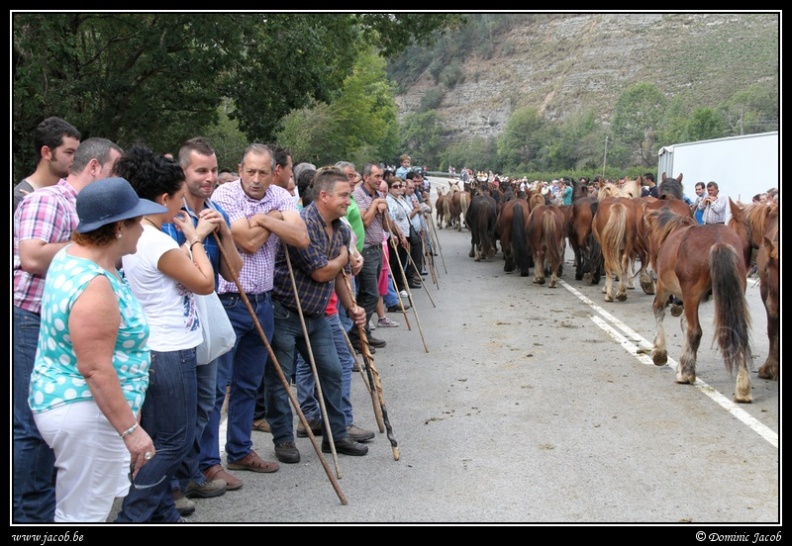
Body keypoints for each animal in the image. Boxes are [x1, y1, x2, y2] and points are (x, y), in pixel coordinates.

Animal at [648, 207, 752, 400]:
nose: (651, 271)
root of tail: (719, 241)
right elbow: (684, 325)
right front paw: (683, 363)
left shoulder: (664, 288)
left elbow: (659, 311)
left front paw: (660, 353)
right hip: (735, 293)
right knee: (740, 333)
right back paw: (743, 387)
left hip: (691, 294)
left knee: (695, 331)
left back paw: (686, 375)